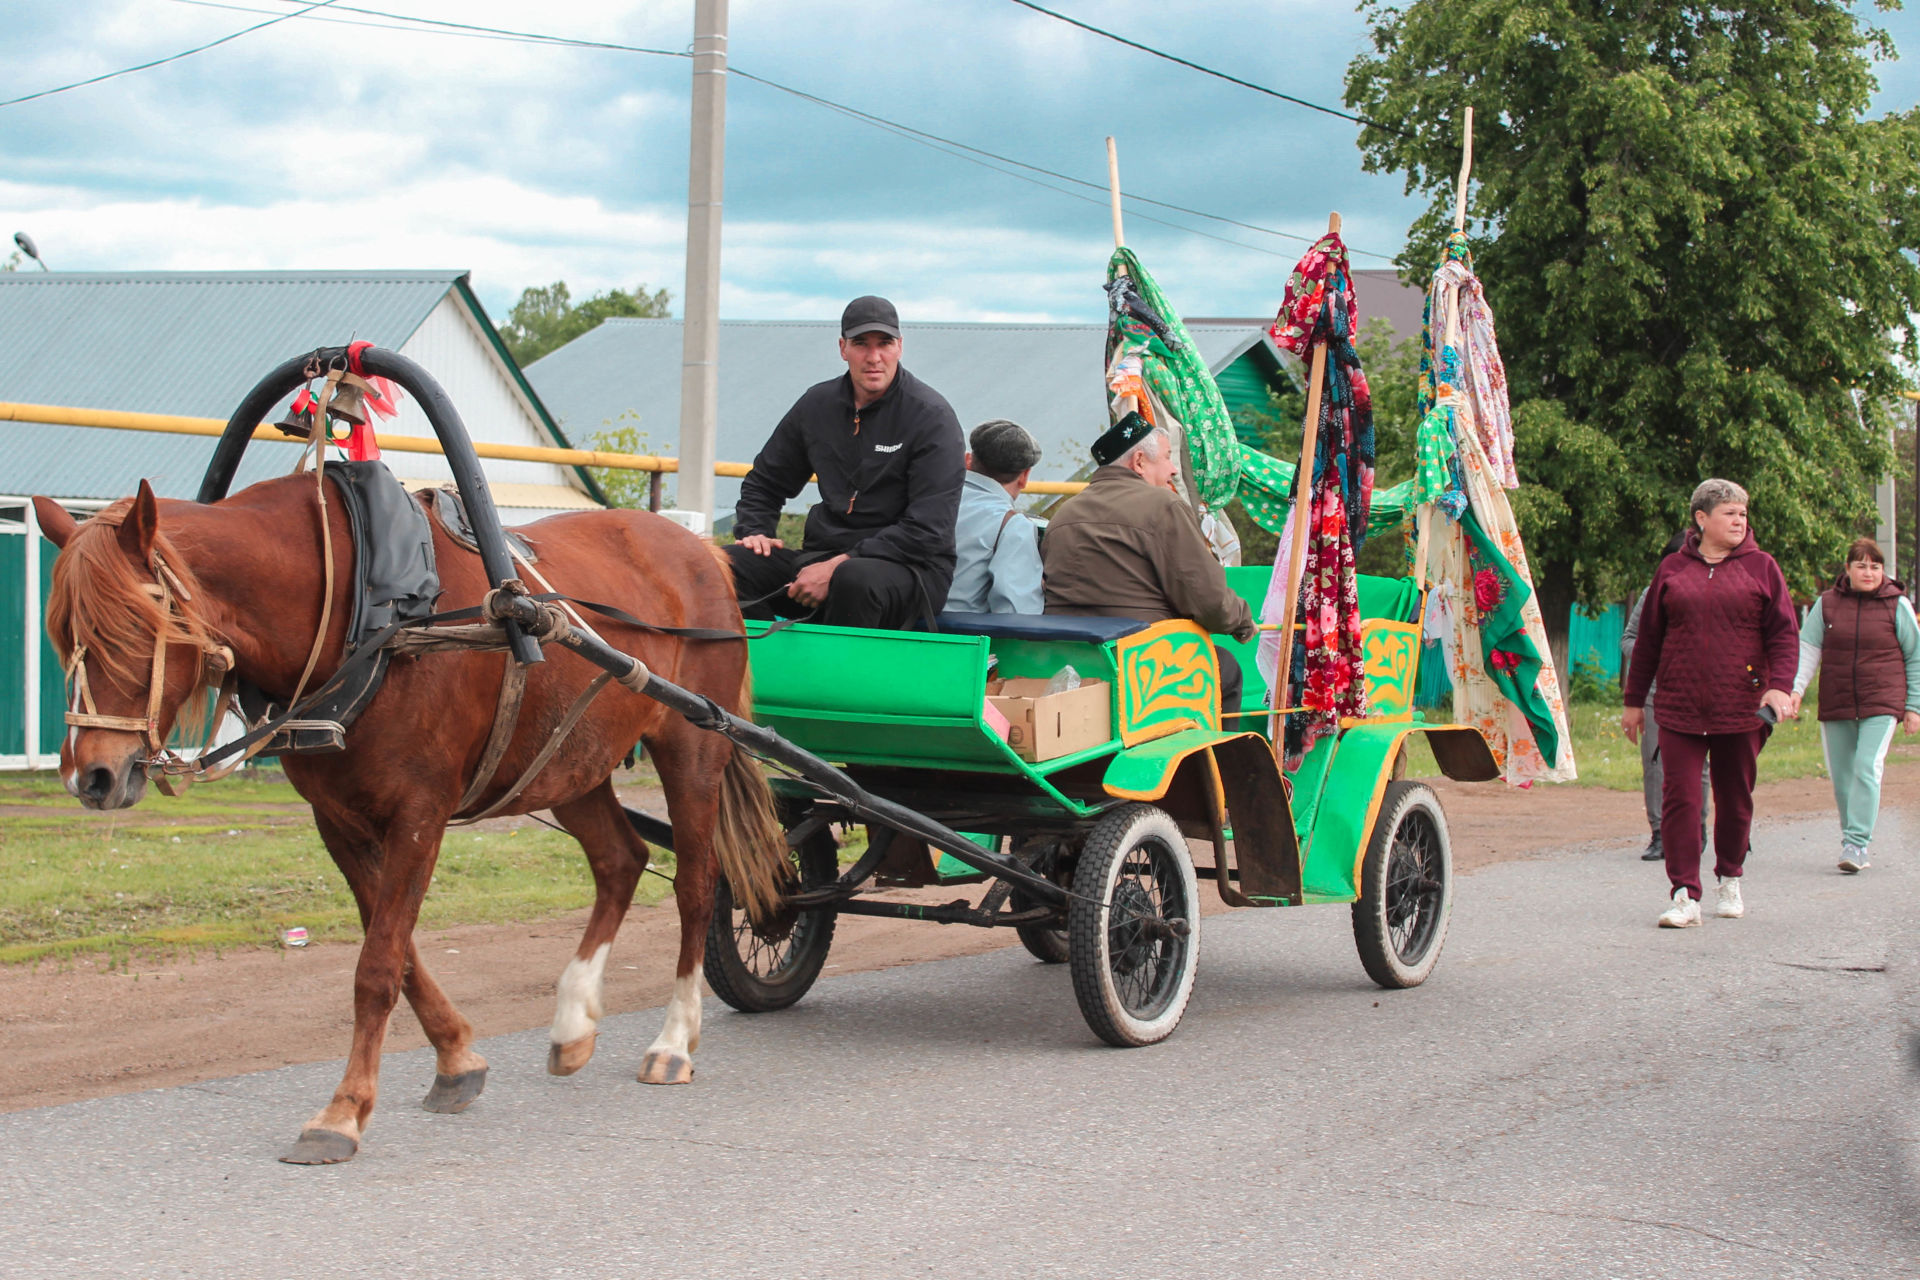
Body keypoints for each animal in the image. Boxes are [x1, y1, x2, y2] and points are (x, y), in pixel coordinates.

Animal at [30, 475, 783, 1166]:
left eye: (133, 627)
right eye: (64, 634)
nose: (92, 777)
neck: (371, 608)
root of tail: (698, 550)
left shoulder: (420, 811)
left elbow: (377, 966)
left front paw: (343, 1111)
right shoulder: (339, 820)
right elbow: (398, 952)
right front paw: (456, 1060)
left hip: (693, 747)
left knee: (695, 885)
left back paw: (673, 1040)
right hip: (567, 757)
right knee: (620, 861)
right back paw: (573, 1022)